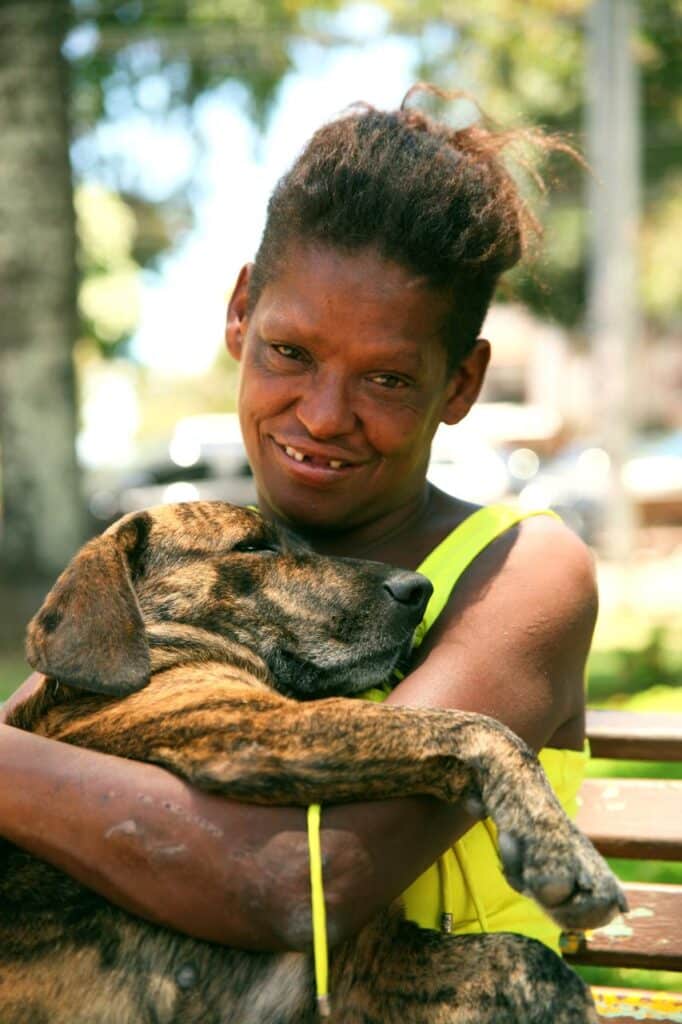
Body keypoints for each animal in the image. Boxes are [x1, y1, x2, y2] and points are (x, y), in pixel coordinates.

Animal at [1, 503, 622, 1024]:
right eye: (253, 547)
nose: (419, 588)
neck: (165, 651)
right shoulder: (250, 731)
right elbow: (477, 725)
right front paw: (562, 849)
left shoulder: (371, 963)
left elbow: (533, 962)